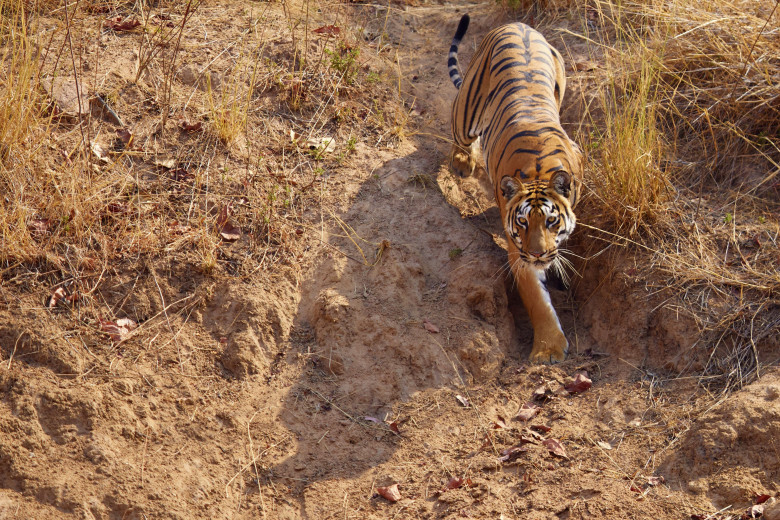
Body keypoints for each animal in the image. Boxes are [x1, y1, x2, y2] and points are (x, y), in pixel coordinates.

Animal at [444, 12, 584, 362]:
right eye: (521, 222)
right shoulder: (517, 249)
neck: (540, 171)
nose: (538, 254)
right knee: (460, 135)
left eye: (552, 221)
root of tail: (517, 24)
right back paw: (462, 162)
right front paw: (548, 349)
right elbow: (536, 298)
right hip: (465, 115)